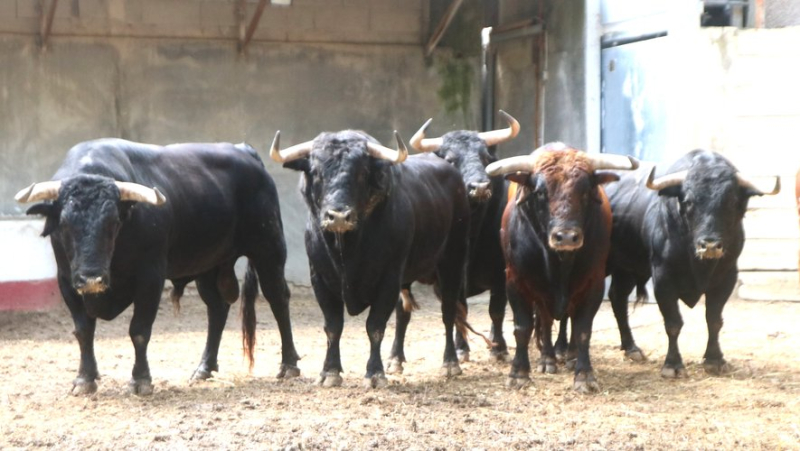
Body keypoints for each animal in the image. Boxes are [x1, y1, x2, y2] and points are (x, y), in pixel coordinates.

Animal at [18, 139, 300, 398]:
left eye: (113, 222)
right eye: (65, 223)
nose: (91, 279)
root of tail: (244, 150)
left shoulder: (150, 277)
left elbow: (139, 331)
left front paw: (141, 380)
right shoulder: (67, 280)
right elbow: (83, 330)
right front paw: (84, 379)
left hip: (269, 249)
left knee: (278, 299)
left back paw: (288, 365)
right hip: (209, 265)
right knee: (217, 309)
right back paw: (204, 368)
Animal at [272, 128, 468, 388]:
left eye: (362, 172)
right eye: (316, 172)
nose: (338, 216)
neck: (347, 250)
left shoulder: (389, 279)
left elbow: (375, 326)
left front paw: (374, 373)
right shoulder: (319, 279)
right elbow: (333, 327)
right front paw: (329, 372)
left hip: (453, 261)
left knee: (448, 311)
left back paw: (450, 363)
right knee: (404, 313)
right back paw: (395, 361)